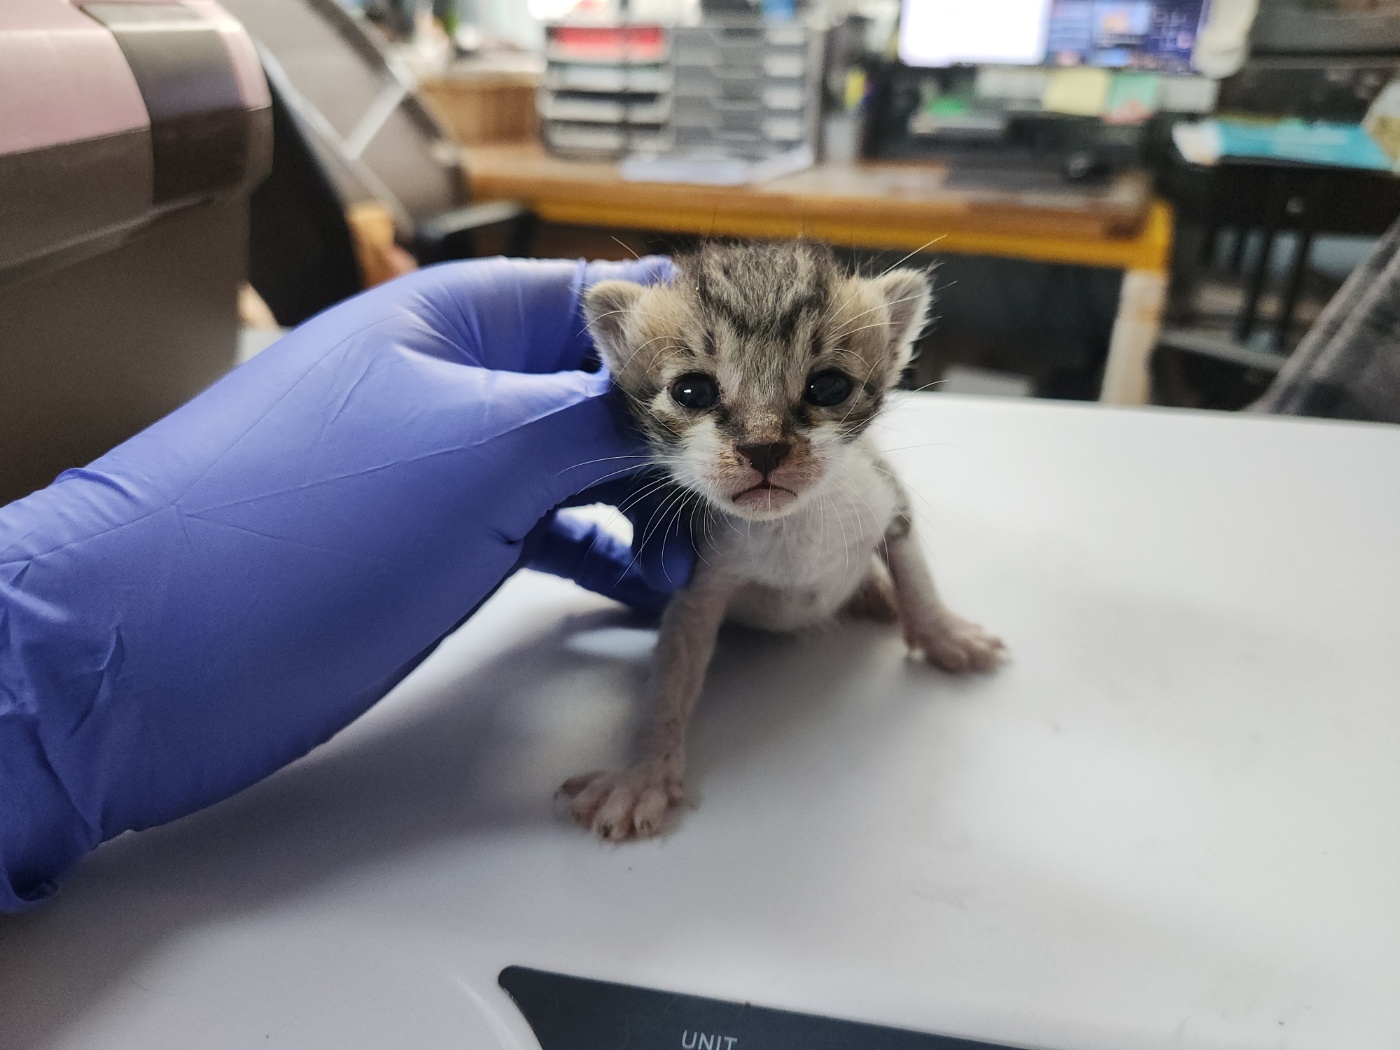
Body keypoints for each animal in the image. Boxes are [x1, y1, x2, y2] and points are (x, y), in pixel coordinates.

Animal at [560, 242, 1008, 845]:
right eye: (691, 391)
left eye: (829, 386)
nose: (764, 447)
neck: (791, 524)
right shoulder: (700, 579)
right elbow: (673, 673)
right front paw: (643, 774)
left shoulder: (883, 495)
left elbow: (914, 568)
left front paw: (944, 632)